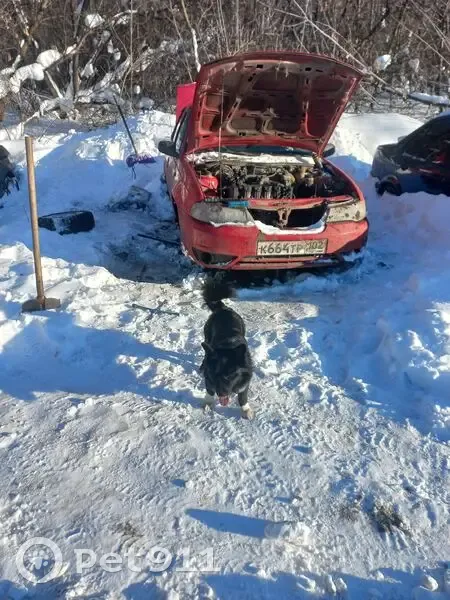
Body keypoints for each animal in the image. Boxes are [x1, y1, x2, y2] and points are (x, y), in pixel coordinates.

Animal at [200, 278, 254, 419]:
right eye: (214, 375)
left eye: (229, 376)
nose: (221, 394)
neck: (228, 347)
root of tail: (222, 308)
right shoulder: (209, 378)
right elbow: (209, 390)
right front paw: (208, 404)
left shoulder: (246, 380)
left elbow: (243, 396)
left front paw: (246, 410)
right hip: (207, 339)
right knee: (205, 354)